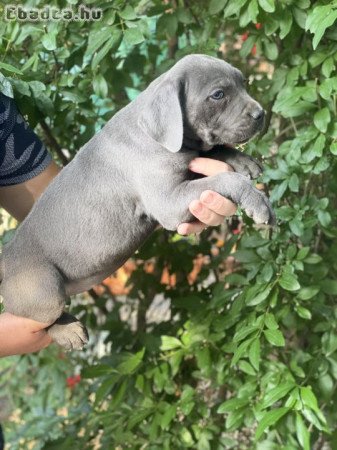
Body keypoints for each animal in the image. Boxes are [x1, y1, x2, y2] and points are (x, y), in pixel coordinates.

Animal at [0, 55, 272, 352]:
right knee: (41, 315)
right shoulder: (167, 199)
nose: (261, 114)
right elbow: (224, 178)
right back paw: (67, 330)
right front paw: (257, 201)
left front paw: (243, 161)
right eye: (218, 95)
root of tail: (5, 258)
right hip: (44, 288)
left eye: (244, 83)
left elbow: (212, 153)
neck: (162, 137)